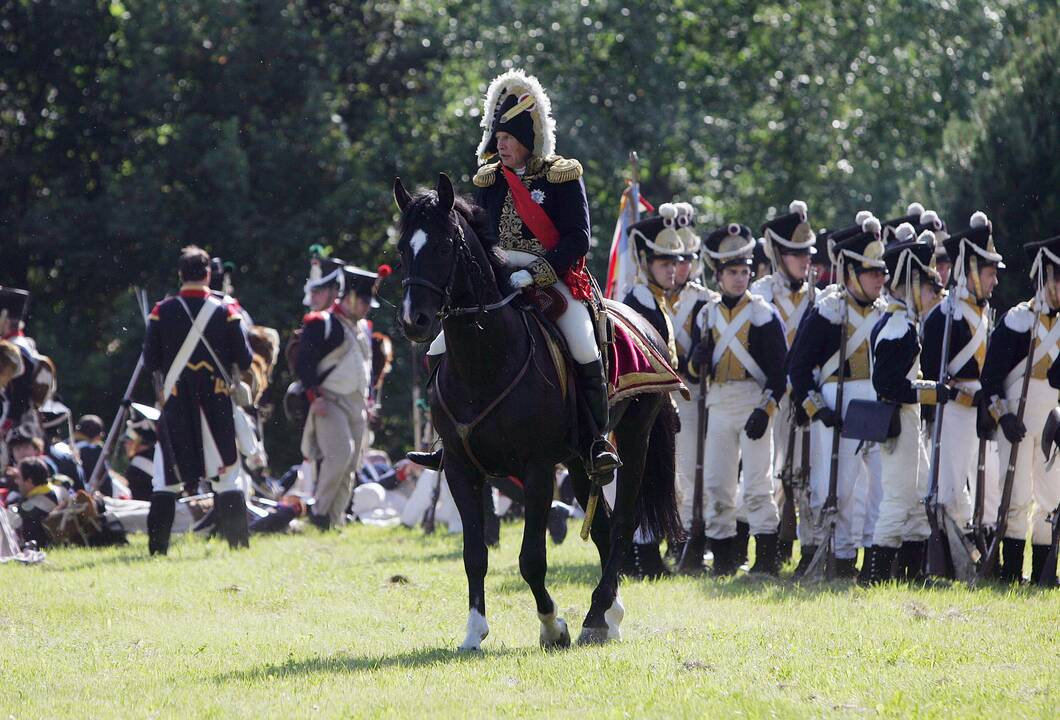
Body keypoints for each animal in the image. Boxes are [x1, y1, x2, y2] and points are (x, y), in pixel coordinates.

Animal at [396, 176, 678, 653]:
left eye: (445, 245)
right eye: (402, 248)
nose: (413, 321)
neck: (486, 360)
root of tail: (646, 324)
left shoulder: (538, 468)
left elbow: (531, 558)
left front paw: (552, 625)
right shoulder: (459, 468)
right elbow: (474, 553)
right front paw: (474, 630)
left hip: (633, 438)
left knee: (622, 523)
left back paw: (595, 614)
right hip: (582, 459)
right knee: (603, 527)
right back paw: (608, 614)